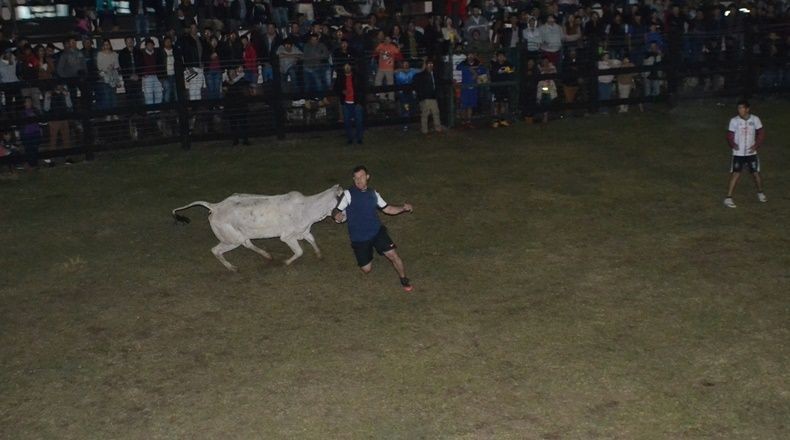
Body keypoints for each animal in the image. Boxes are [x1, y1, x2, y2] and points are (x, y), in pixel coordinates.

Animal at [172, 185, 344, 271]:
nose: (343, 218)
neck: (307, 208)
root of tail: (216, 206)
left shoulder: (304, 231)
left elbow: (312, 240)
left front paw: (319, 255)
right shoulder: (287, 236)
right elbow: (300, 251)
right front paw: (286, 262)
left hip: (237, 236)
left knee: (247, 243)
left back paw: (267, 256)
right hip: (231, 239)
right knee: (216, 250)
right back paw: (232, 268)